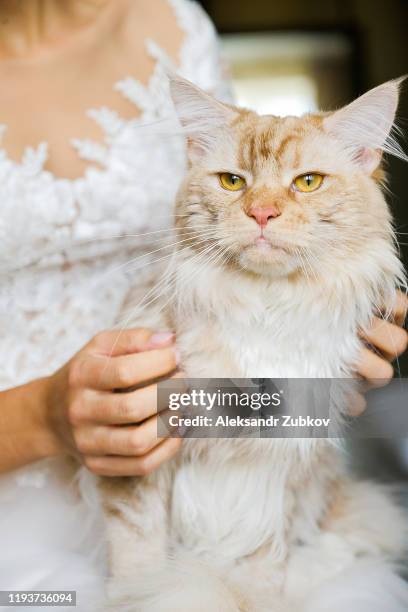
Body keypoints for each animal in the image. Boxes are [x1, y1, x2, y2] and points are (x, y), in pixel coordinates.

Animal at [98, 74, 408, 608]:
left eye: (307, 182)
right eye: (232, 182)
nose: (262, 213)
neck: (265, 306)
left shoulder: (282, 465)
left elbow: (261, 560)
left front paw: (251, 600)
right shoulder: (140, 458)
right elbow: (140, 559)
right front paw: (139, 597)